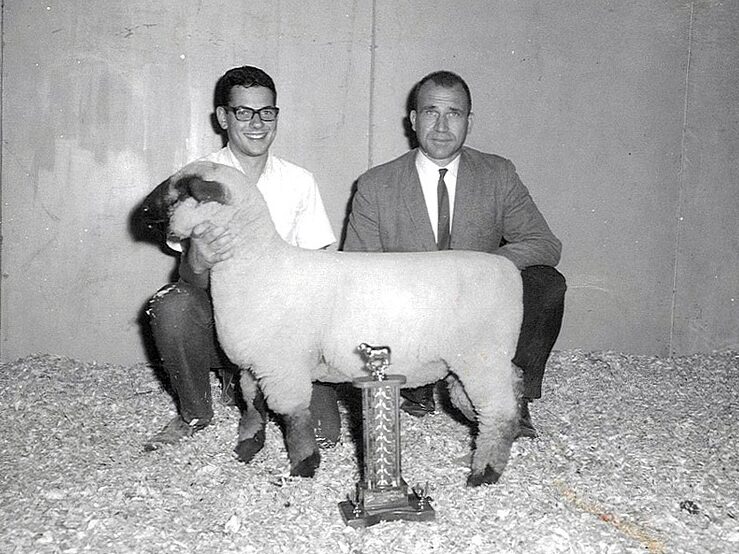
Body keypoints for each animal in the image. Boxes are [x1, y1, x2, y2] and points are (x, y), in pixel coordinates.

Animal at [160, 158, 528, 484]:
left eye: (177, 194)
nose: (149, 214)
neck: (256, 263)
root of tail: (508, 270)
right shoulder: (254, 364)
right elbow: (252, 405)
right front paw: (248, 445)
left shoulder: (282, 366)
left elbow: (293, 417)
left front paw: (304, 464)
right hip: (476, 362)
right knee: (504, 392)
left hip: (481, 359)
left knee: (497, 412)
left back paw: (485, 472)